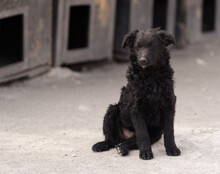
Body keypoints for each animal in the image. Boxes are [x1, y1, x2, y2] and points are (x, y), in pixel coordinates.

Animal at [92, 27, 180, 160]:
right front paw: (145, 153)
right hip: (111, 111)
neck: (150, 76)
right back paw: (101, 145)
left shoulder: (169, 103)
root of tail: (124, 136)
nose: (142, 61)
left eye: (152, 46)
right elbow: (142, 133)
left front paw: (172, 148)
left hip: (156, 132)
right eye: (138, 47)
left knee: (130, 141)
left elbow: (169, 130)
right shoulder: (136, 107)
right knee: (111, 140)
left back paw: (122, 148)